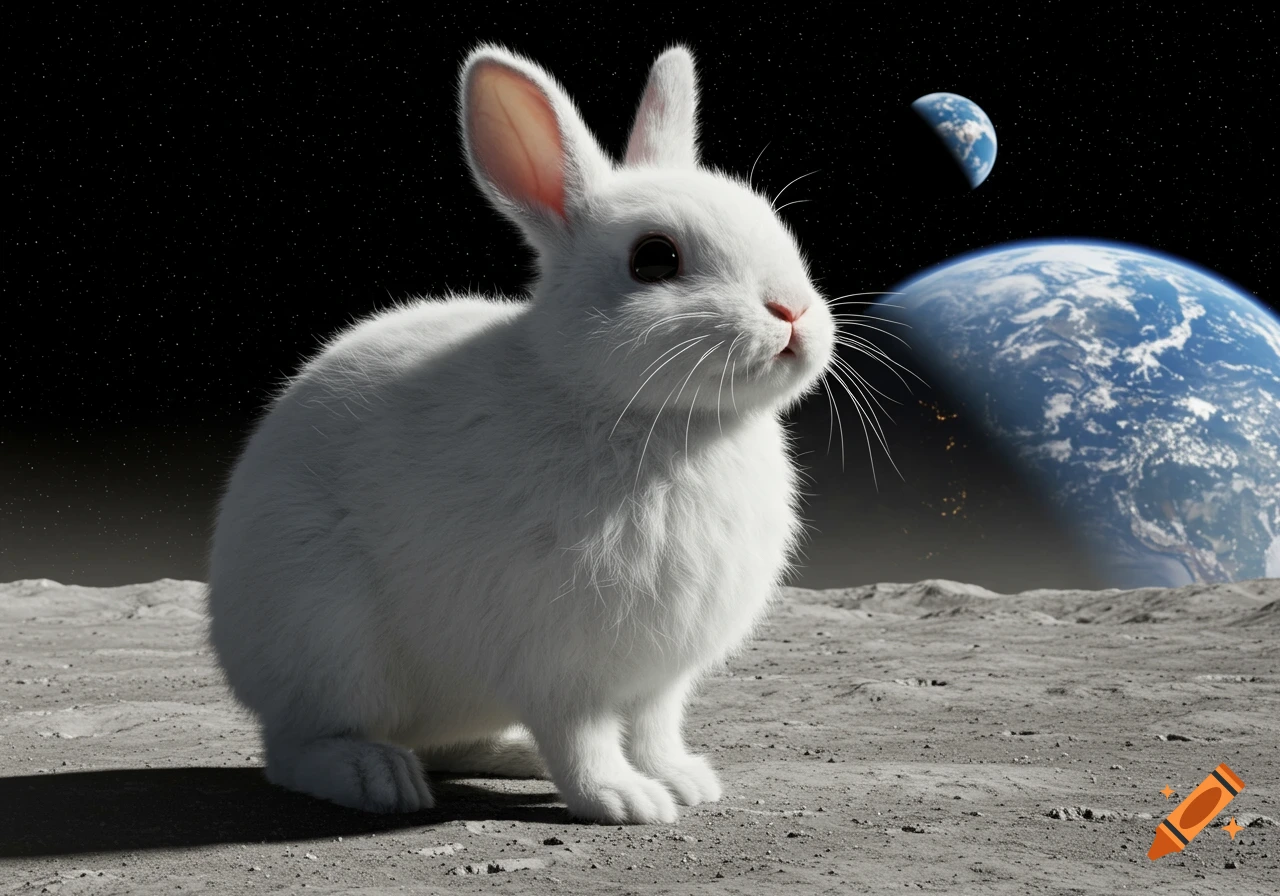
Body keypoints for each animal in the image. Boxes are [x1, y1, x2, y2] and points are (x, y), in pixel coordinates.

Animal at [205, 41, 837, 825]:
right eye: (655, 258)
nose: (793, 313)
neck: (649, 416)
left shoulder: (660, 677)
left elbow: (655, 728)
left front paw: (685, 782)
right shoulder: (559, 662)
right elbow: (581, 737)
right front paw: (626, 800)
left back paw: (511, 756)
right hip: (328, 641)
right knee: (296, 746)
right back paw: (375, 776)